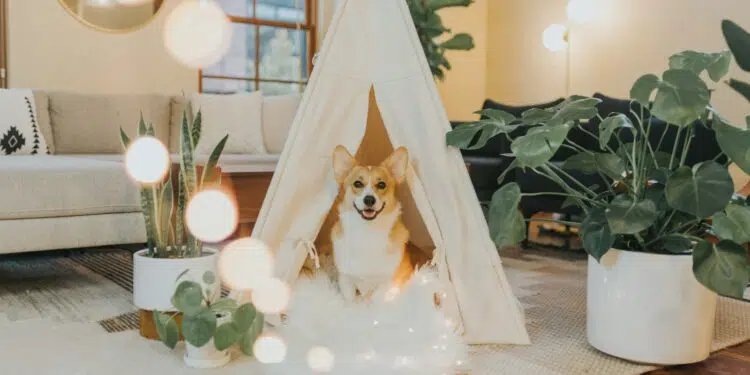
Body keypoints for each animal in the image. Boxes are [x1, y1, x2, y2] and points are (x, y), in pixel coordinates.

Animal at [332, 145, 418, 302]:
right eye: (357, 183)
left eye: (381, 184)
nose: (369, 200)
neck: (368, 231)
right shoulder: (346, 279)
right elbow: (349, 300)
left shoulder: (386, 283)